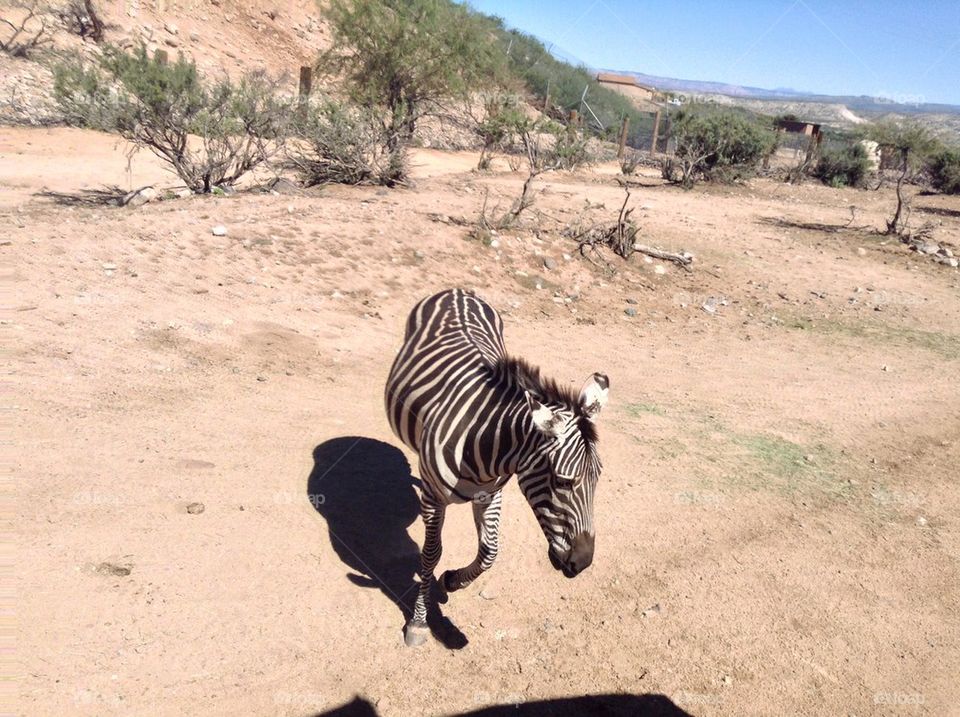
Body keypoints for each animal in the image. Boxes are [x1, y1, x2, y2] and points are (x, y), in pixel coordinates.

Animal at [385, 288, 609, 647]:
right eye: (562, 482)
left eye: (597, 479)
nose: (584, 563)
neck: (484, 443)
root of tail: (458, 290)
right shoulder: (433, 496)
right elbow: (431, 552)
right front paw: (418, 621)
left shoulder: (491, 494)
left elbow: (489, 551)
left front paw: (452, 581)